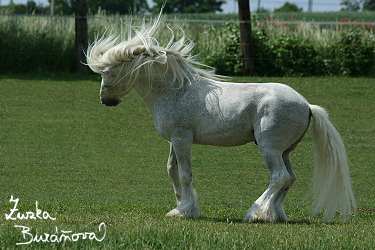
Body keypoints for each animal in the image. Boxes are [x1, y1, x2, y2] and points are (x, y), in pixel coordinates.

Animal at [86, 16, 356, 223]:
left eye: (107, 72)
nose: (105, 100)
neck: (174, 90)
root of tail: (307, 105)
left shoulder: (182, 139)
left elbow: (185, 174)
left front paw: (185, 211)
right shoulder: (174, 140)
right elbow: (172, 171)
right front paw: (181, 207)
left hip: (269, 148)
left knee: (279, 177)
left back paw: (256, 213)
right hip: (285, 151)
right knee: (289, 178)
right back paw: (275, 214)